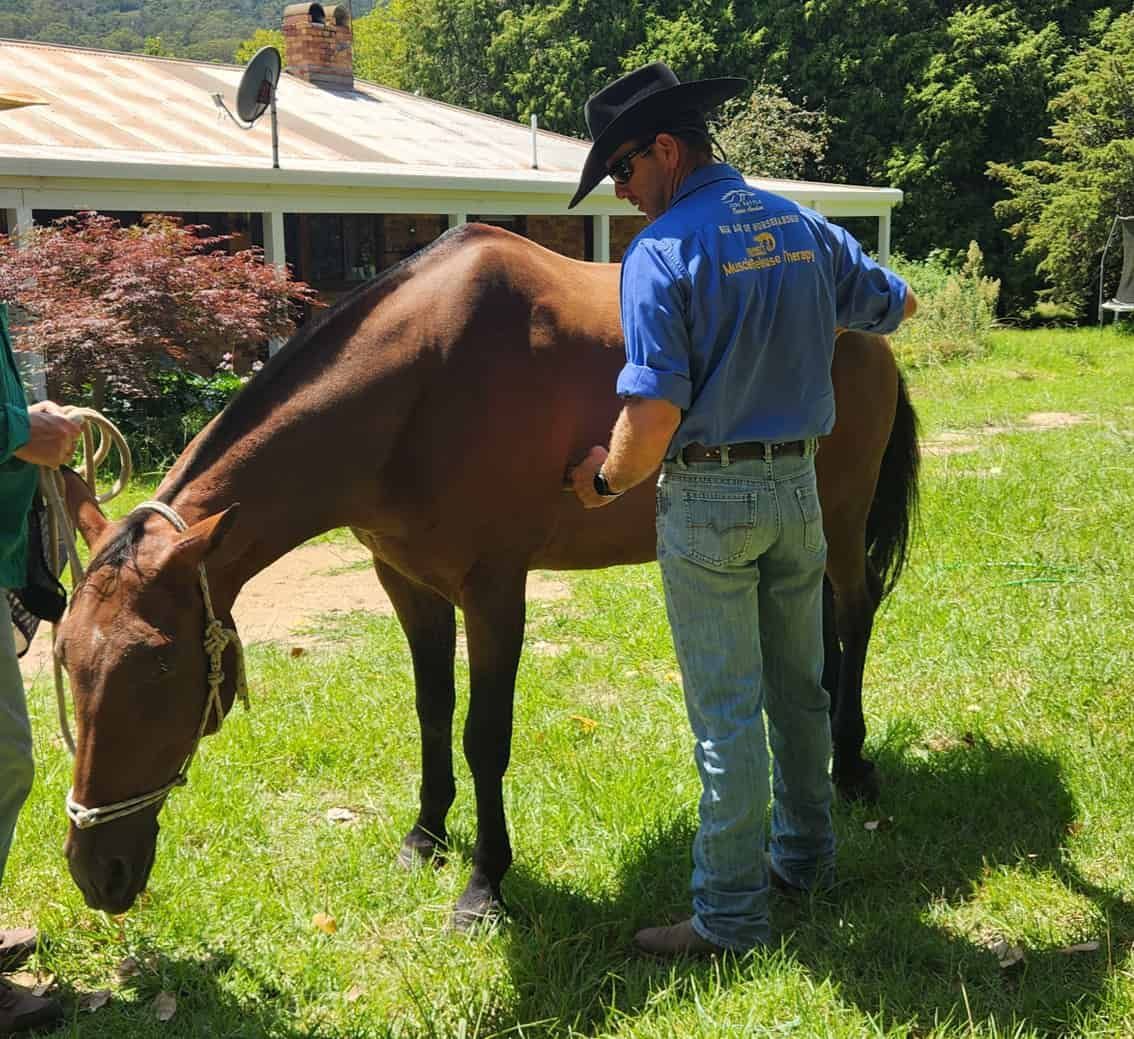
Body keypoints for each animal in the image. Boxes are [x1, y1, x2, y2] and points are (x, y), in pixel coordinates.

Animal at [55, 222, 919, 928]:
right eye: (67, 660)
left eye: (159, 666)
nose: (97, 872)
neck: (416, 389)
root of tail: (863, 322)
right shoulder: (407, 583)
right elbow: (433, 712)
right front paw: (426, 834)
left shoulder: (495, 591)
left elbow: (484, 735)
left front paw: (484, 885)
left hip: (841, 520)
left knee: (854, 616)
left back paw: (854, 765)